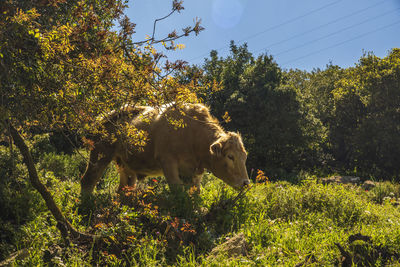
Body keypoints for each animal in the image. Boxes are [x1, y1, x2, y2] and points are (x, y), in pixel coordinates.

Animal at [80, 103, 250, 197]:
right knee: (88, 180)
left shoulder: (195, 173)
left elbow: (195, 193)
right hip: (100, 154)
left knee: (124, 188)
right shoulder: (168, 162)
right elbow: (177, 191)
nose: (245, 183)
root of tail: (103, 118)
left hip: (124, 165)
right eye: (230, 156)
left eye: (244, 156)